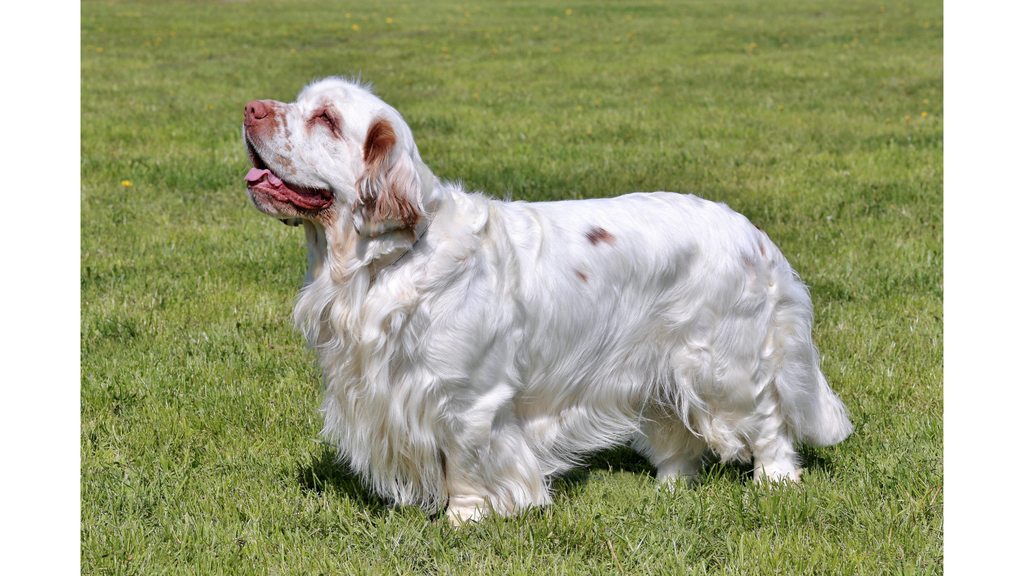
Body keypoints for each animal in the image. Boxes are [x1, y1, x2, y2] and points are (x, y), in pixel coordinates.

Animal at [243, 77, 851, 524]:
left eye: (325, 119)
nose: (249, 108)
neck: (384, 262)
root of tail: (754, 234)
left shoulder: (469, 399)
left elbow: (464, 464)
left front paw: (463, 520)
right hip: (660, 364)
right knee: (678, 430)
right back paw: (670, 487)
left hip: (723, 364)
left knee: (768, 418)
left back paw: (776, 480)